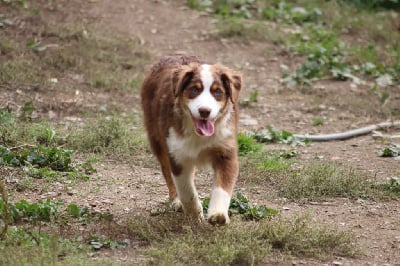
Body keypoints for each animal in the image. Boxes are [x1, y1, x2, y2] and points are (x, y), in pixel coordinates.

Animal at [141, 55, 241, 224]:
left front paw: (218, 215)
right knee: (166, 171)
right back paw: (176, 201)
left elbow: (222, 187)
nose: (205, 111)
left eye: (217, 92)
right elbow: (186, 189)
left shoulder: (226, 152)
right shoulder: (177, 154)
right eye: (194, 90)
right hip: (156, 138)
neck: (198, 136)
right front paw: (194, 214)